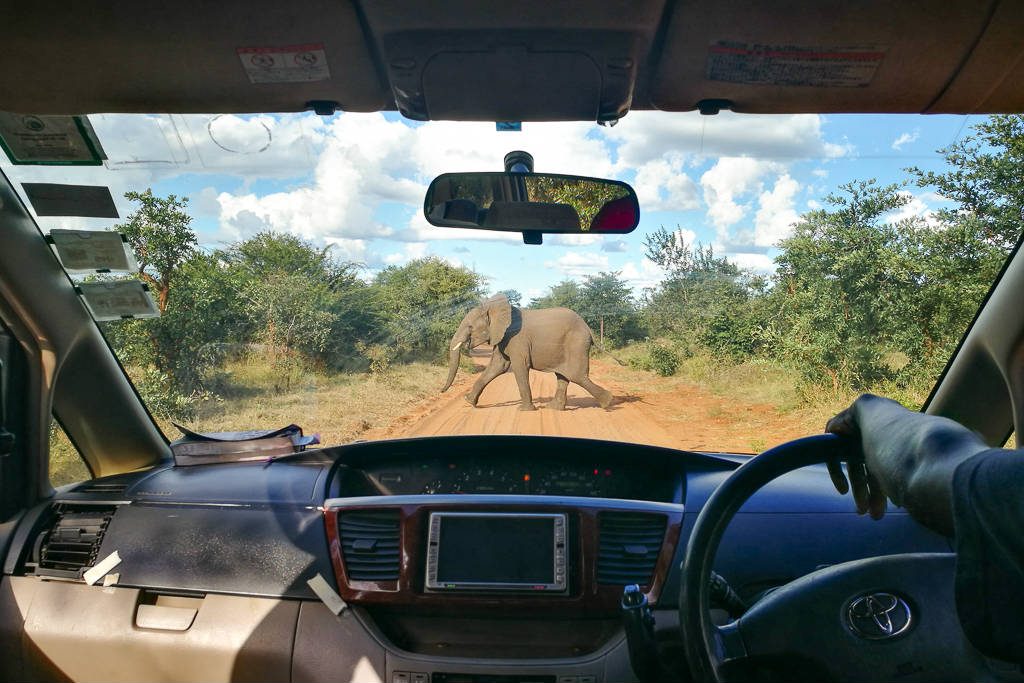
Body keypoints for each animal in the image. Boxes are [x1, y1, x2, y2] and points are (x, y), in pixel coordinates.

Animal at [438, 294, 610, 411]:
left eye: (470, 327)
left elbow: (520, 366)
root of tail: (588, 328)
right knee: (563, 376)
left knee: (577, 376)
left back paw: (608, 402)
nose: (441, 391)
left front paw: (524, 410)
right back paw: (553, 408)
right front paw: (468, 401)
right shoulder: (502, 337)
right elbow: (497, 367)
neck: (495, 309)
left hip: (576, 344)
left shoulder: (516, 339)